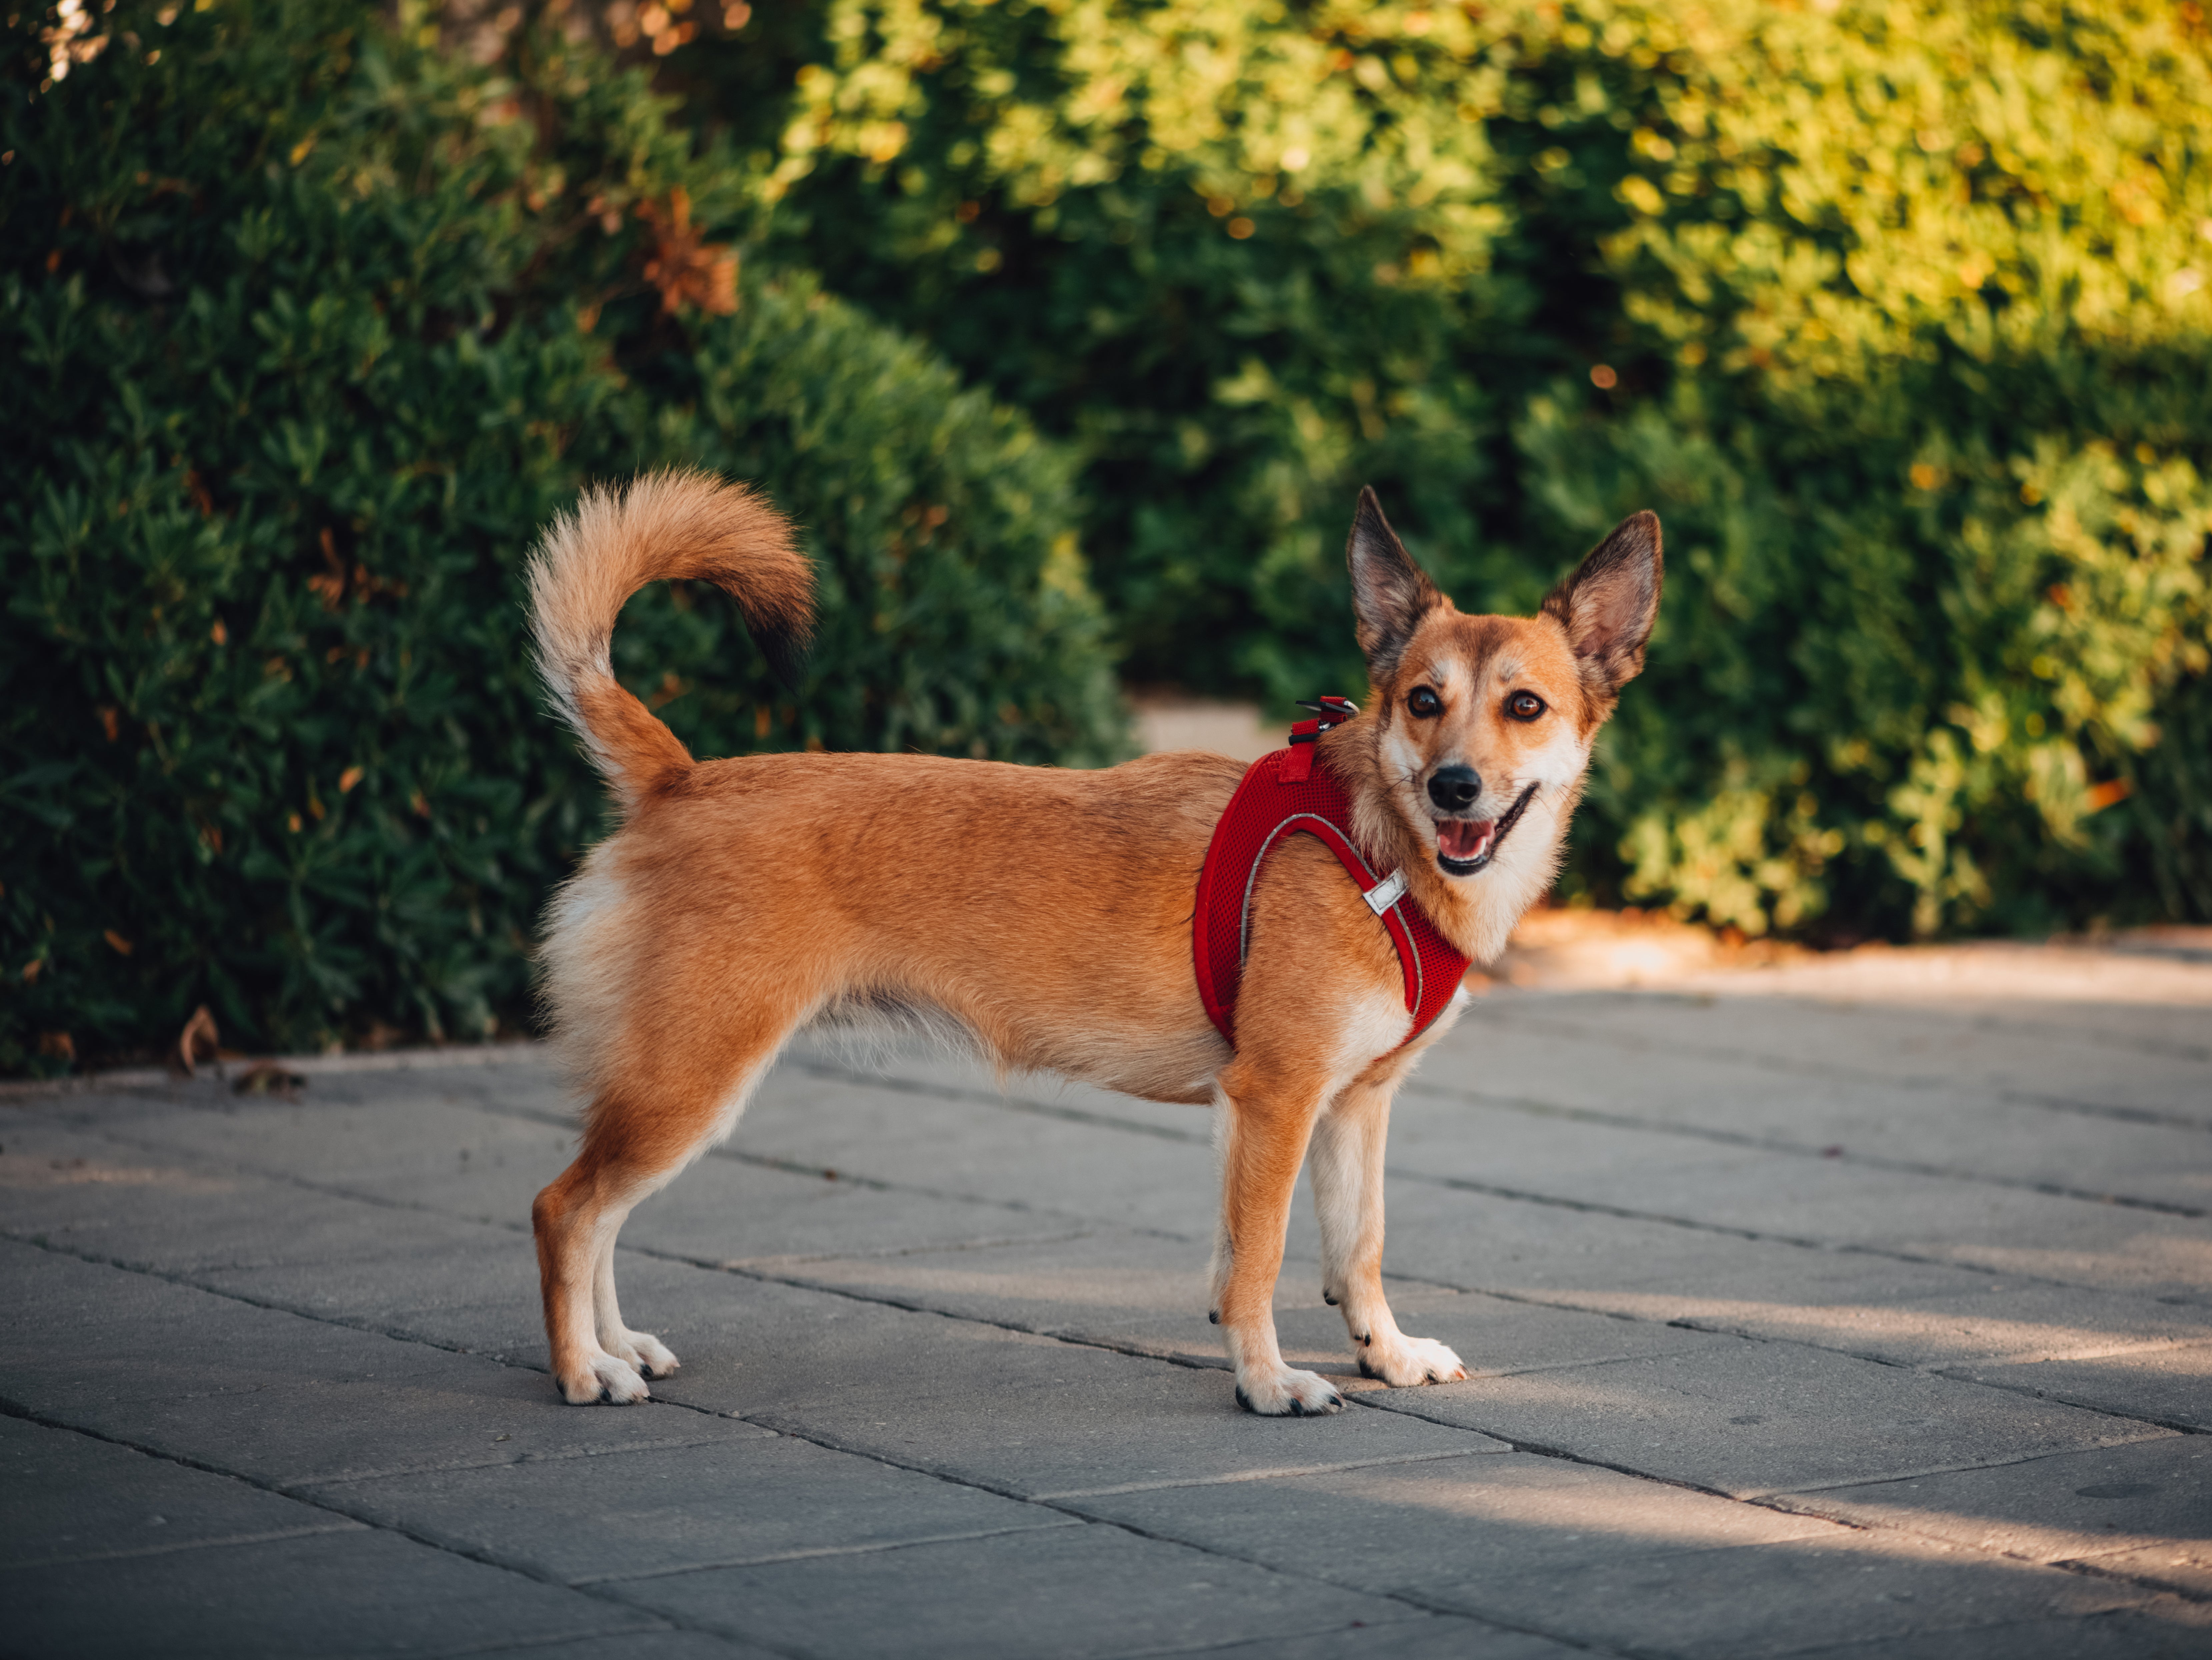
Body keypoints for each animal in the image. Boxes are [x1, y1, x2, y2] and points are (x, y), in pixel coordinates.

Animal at [522, 473, 1663, 1423]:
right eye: (1424, 702)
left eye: (1525, 706)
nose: (1455, 788)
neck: (1374, 838)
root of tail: (678, 778)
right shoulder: (1276, 1101)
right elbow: (1259, 1260)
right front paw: (1266, 1381)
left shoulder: (1353, 1108)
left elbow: (1359, 1248)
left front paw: (1384, 1354)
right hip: (690, 1081)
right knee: (564, 1210)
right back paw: (582, 1372)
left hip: (667, 1087)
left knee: (603, 1214)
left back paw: (620, 1346)